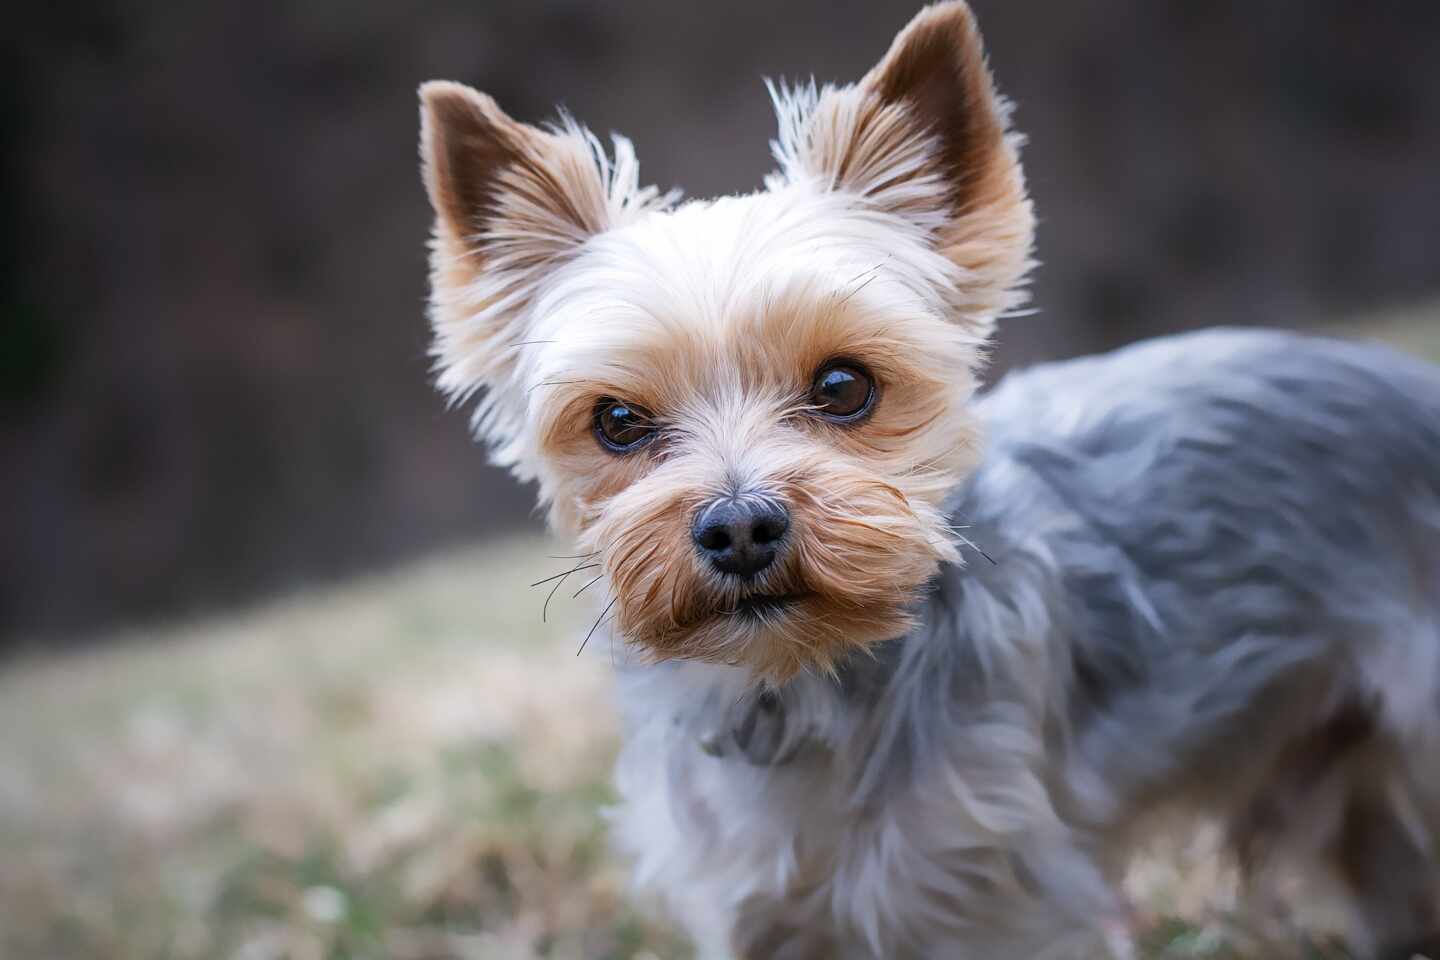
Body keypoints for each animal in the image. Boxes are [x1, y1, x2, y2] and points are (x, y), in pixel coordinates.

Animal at [414, 3, 1440, 955]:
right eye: (617, 422)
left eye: (844, 386)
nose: (740, 527)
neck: (797, 687)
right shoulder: (752, 909)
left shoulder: (997, 900)